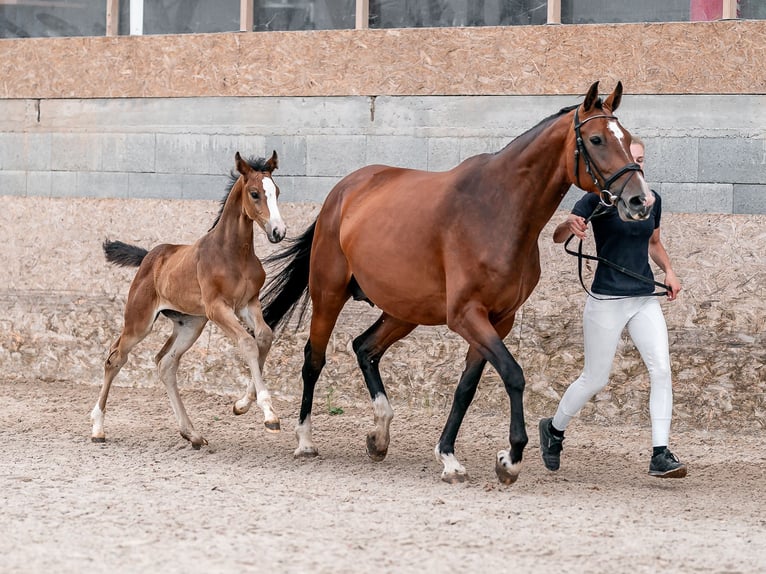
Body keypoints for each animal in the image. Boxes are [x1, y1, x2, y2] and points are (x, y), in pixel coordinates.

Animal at [90, 151, 286, 449]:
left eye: (276, 191)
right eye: (254, 193)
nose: (278, 231)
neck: (233, 253)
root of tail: (149, 257)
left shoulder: (248, 304)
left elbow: (264, 337)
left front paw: (241, 405)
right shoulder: (218, 308)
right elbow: (247, 343)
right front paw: (269, 415)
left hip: (190, 324)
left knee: (166, 363)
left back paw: (191, 433)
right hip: (139, 321)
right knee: (115, 358)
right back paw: (98, 428)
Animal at [260, 81, 652, 484]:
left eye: (627, 138)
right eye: (596, 139)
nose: (640, 200)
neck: (498, 210)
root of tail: (341, 193)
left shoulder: (499, 319)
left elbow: (466, 388)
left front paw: (449, 455)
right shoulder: (467, 315)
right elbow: (513, 375)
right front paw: (511, 458)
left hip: (404, 310)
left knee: (365, 348)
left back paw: (379, 435)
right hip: (329, 294)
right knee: (314, 359)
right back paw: (306, 440)